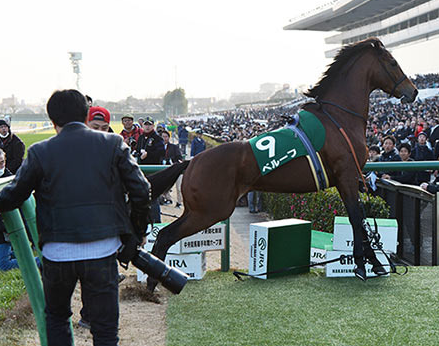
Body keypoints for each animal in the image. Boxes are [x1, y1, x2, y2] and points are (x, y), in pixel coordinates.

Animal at [147, 37, 416, 290]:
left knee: (164, 234)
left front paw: (371, 263)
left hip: (199, 210)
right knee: (166, 235)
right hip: (211, 211)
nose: (412, 91)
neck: (338, 119)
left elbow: (357, 217)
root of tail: (192, 161)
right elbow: (356, 218)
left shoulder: (345, 179)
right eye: (393, 62)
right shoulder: (347, 175)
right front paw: (366, 265)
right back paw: (153, 283)